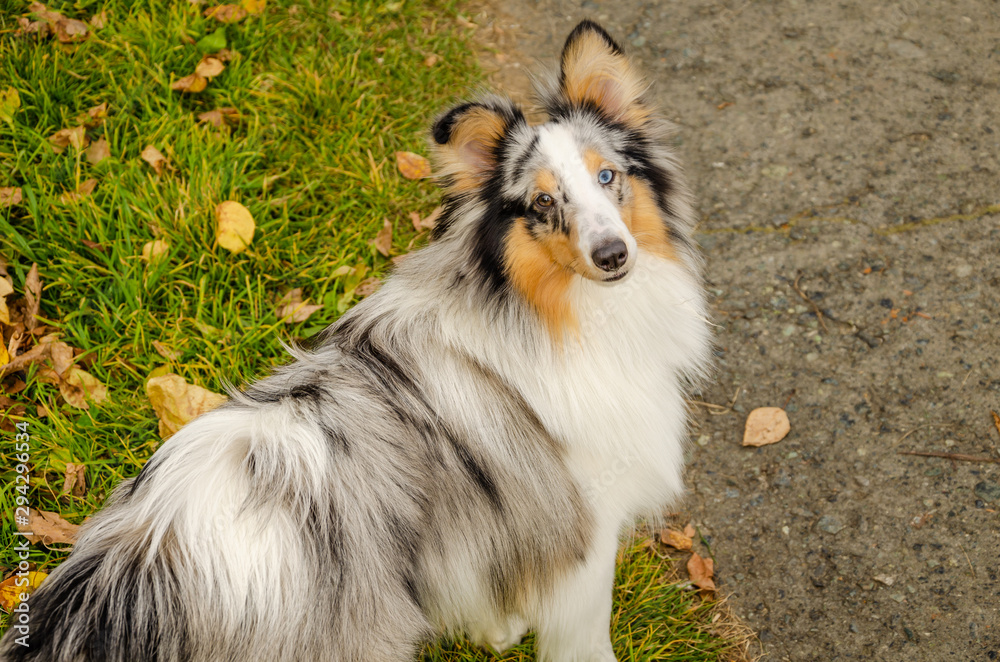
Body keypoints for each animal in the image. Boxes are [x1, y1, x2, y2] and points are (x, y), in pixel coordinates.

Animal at [3, 20, 716, 662]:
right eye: (542, 203)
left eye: (608, 177)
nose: (613, 255)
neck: (549, 310)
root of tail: (140, 564)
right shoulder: (583, 533)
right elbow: (585, 636)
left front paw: (497, 630)